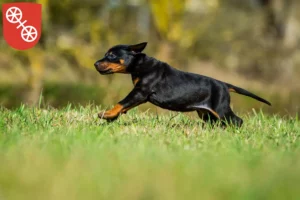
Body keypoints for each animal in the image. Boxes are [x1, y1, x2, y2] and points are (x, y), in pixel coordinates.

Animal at [94, 42, 272, 126]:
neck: (140, 64)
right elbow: (125, 106)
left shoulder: (140, 92)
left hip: (220, 108)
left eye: (111, 55)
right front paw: (112, 117)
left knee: (237, 121)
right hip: (206, 112)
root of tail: (223, 84)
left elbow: (121, 102)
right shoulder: (140, 95)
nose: (95, 64)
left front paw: (107, 114)